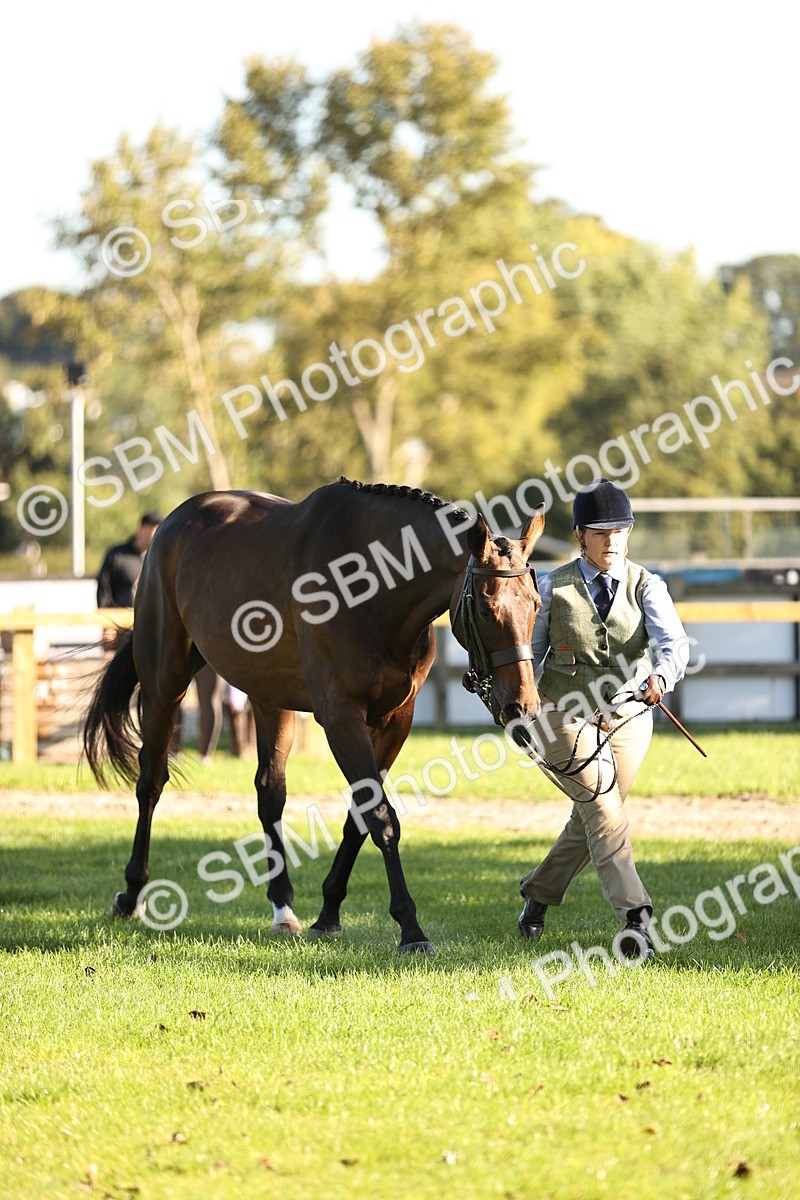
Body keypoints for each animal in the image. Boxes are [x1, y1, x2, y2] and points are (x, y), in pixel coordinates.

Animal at [84, 477, 545, 952]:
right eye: (487, 609)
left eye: (535, 604)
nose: (522, 706)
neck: (372, 587)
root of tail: (175, 524)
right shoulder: (341, 716)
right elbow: (381, 817)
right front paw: (410, 927)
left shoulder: (395, 719)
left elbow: (360, 816)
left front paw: (329, 912)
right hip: (164, 684)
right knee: (151, 783)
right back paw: (132, 894)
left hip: (270, 698)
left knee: (270, 792)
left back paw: (283, 909)